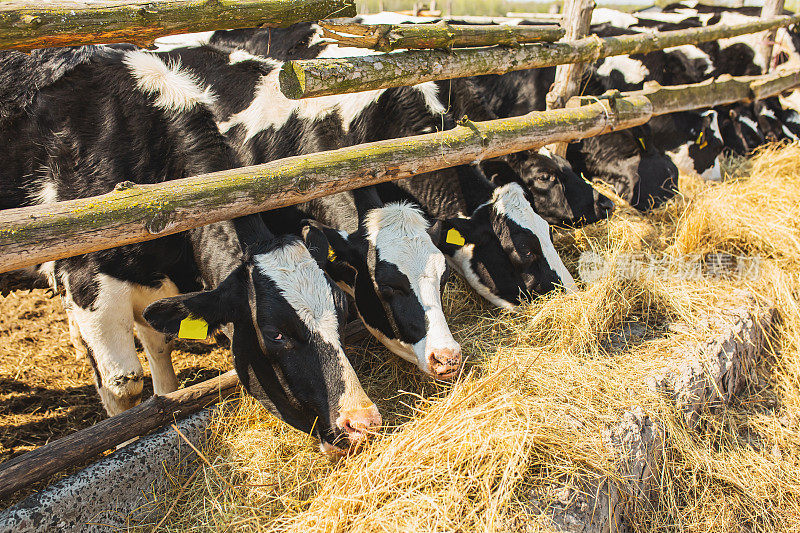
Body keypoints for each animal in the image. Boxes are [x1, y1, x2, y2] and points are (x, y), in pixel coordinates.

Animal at [0, 46, 382, 454]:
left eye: (343, 311)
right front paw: (122, 442)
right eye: (275, 334)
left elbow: (159, 350)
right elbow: (124, 383)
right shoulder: (88, 279)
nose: (362, 422)